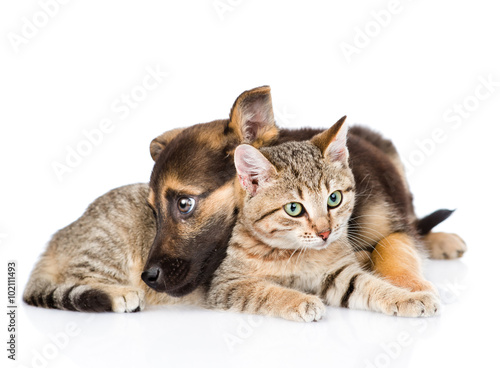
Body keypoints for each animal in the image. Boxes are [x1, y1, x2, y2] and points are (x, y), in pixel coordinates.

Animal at [207, 116, 442, 320]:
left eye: (334, 198)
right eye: (293, 208)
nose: (325, 233)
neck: (294, 253)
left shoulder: (337, 274)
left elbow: (370, 285)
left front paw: (409, 298)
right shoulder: (227, 285)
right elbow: (264, 292)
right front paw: (300, 301)